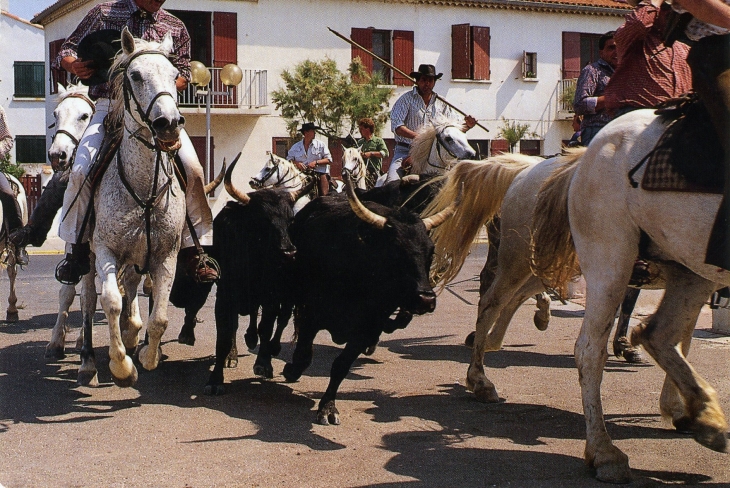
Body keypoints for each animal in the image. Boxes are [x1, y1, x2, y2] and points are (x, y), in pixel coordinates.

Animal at [79, 29, 186, 388]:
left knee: (131, 289)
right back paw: (87, 361)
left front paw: (147, 356)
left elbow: (161, 317)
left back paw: (131, 333)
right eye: (136, 75)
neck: (144, 190)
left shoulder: (165, 256)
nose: (169, 123)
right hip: (87, 257)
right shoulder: (105, 249)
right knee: (88, 300)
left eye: (175, 75)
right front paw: (121, 366)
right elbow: (110, 301)